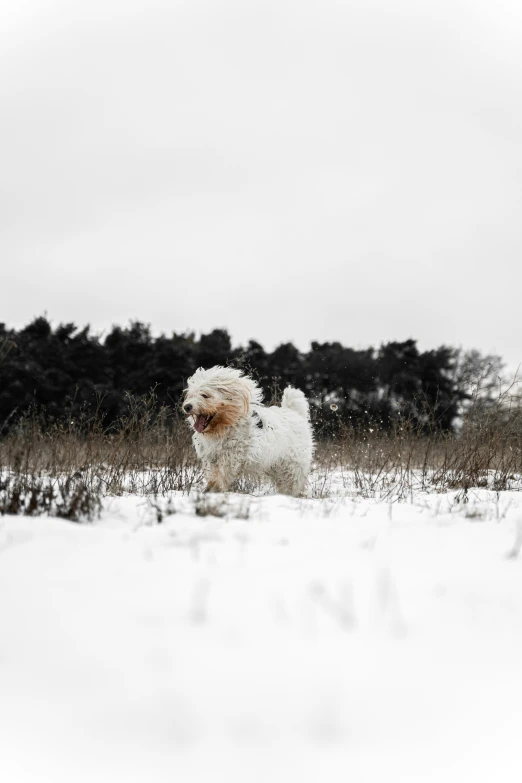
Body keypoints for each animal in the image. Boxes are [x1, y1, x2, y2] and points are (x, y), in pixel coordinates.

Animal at [183, 368, 312, 496]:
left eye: (205, 395)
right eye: (190, 395)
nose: (187, 407)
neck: (224, 426)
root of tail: (295, 413)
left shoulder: (232, 454)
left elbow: (223, 472)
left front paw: (217, 488)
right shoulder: (210, 456)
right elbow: (212, 472)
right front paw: (210, 488)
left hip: (293, 466)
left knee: (291, 483)